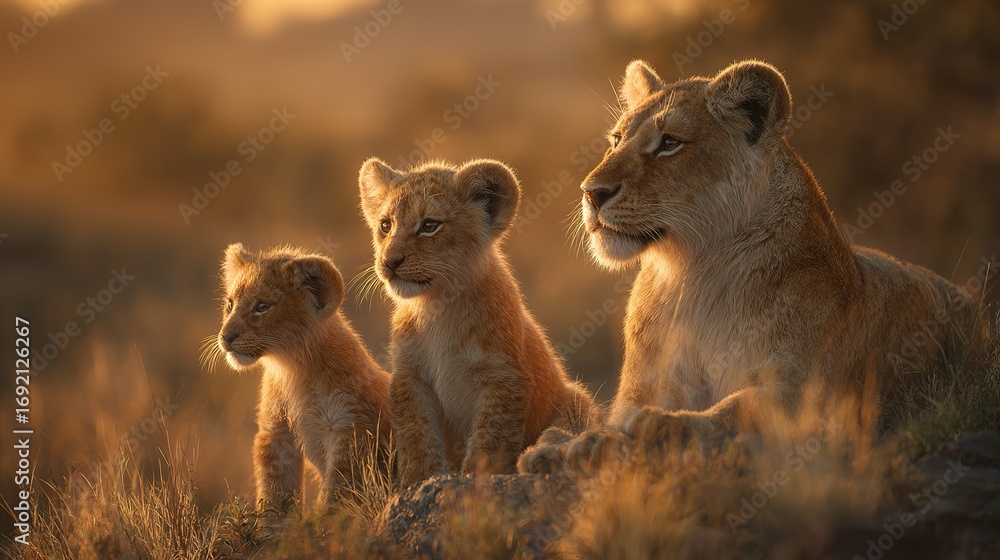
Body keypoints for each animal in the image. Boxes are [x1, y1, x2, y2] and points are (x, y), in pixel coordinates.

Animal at [214, 243, 391, 511]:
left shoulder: (350, 430)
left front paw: (323, 521)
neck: (293, 369)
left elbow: (337, 494)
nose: (226, 337)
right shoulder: (276, 433)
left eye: (262, 306)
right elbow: (276, 493)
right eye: (230, 304)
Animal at [358, 157, 602, 487]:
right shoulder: (410, 377)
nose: (389, 262)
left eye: (429, 226)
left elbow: (489, 440)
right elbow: (416, 436)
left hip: (576, 399)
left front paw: (476, 479)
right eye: (386, 225)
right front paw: (417, 481)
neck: (437, 305)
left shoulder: (504, 377)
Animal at [519, 59, 981, 473]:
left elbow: (736, 409)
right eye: (616, 139)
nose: (592, 192)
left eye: (670, 143)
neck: (693, 275)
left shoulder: (810, 398)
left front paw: (658, 426)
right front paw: (564, 444)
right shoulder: (638, 389)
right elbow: (609, 420)